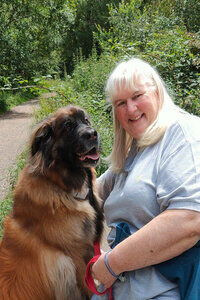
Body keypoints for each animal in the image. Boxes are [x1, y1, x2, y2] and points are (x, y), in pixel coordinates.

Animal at [0, 106, 103, 300]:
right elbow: (89, 287)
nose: (93, 134)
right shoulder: (77, 256)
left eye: (86, 121)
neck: (61, 185)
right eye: (68, 126)